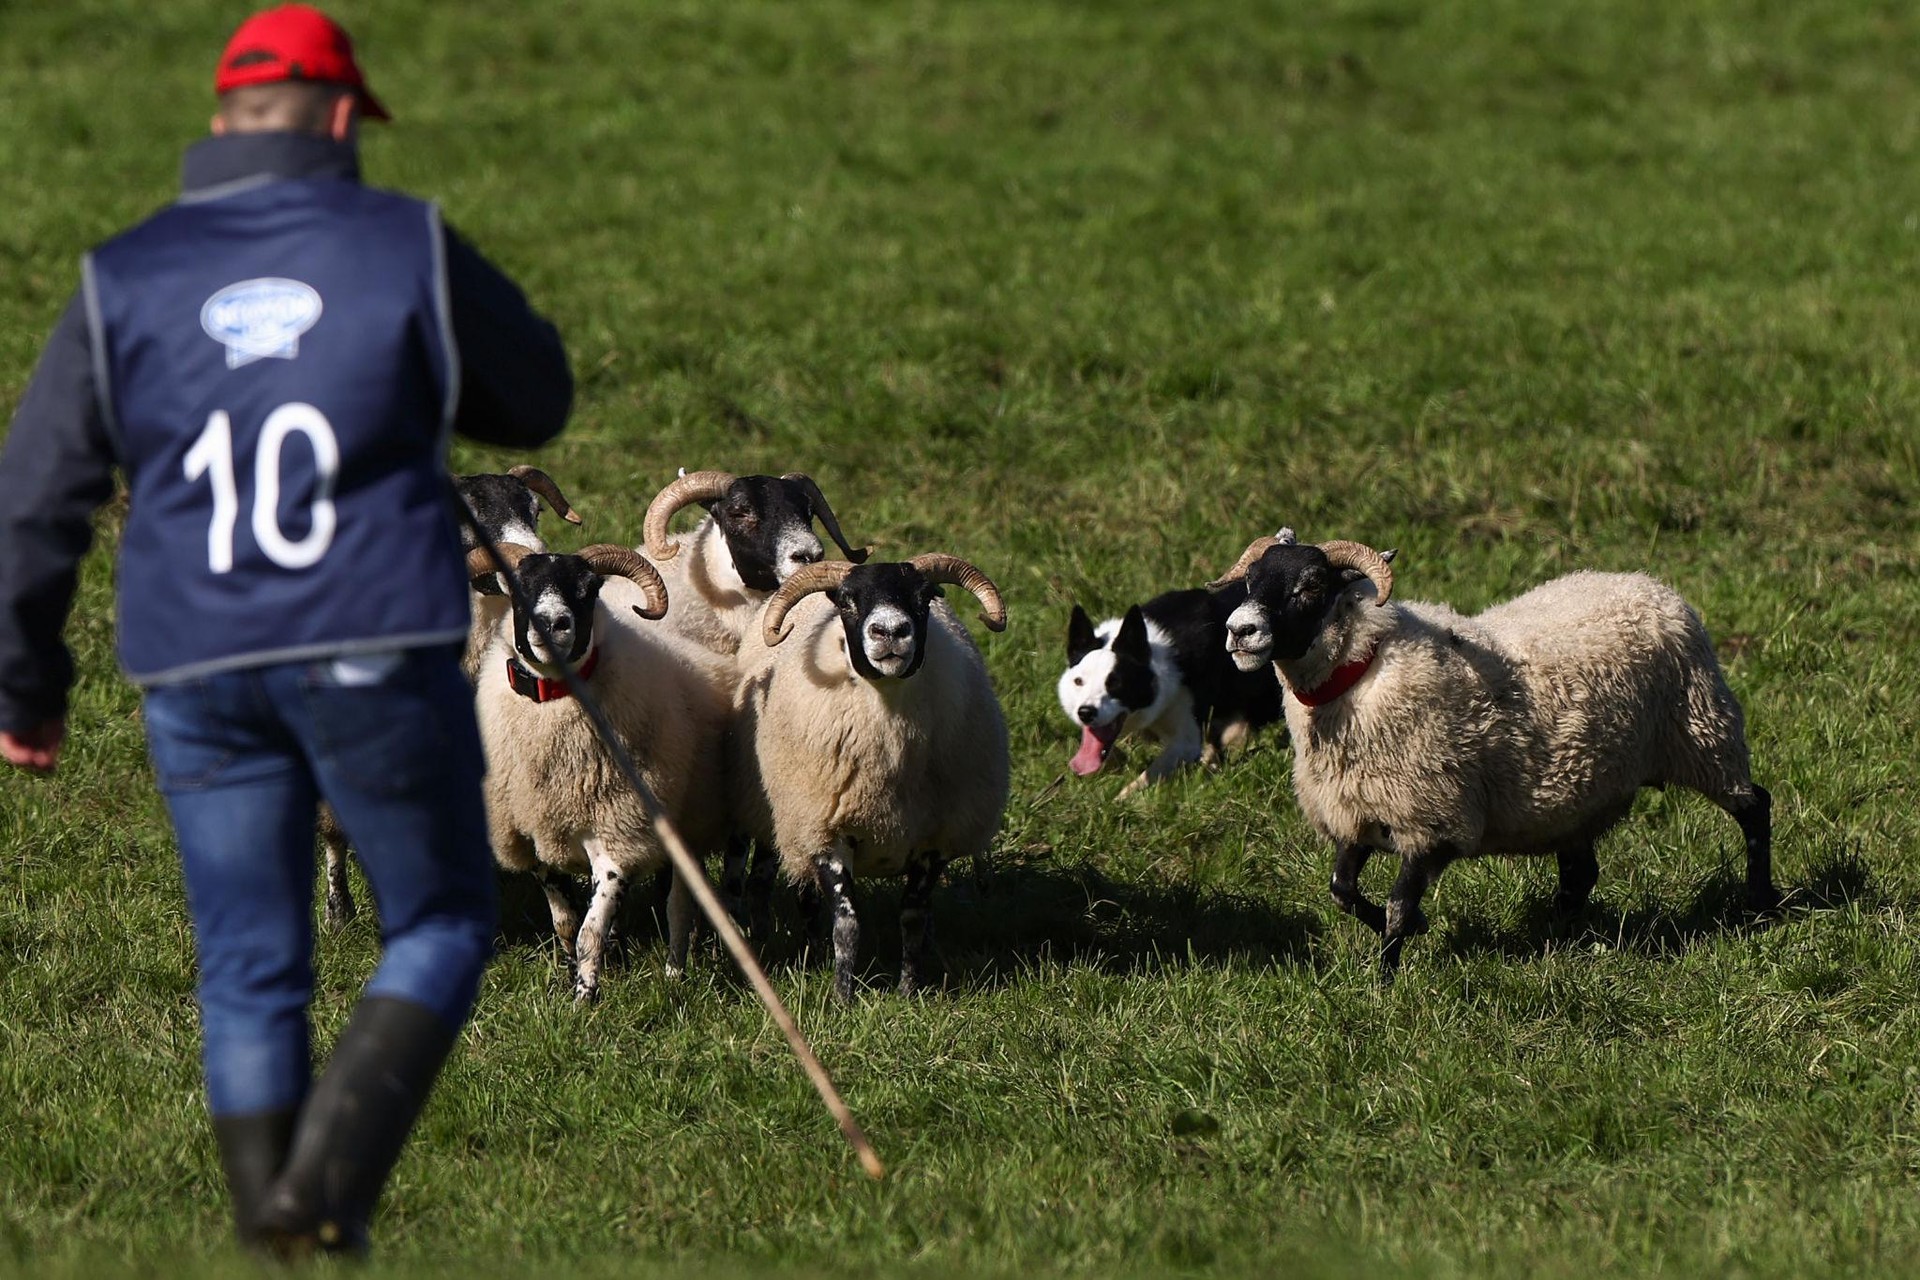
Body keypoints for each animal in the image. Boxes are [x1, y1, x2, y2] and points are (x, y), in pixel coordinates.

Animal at [467, 541, 729, 1004]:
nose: (552, 624)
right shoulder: (535, 834)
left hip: (690, 821)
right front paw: (571, 973)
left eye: (588, 589)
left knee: (679, 905)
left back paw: (674, 974)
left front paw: (584, 997)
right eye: (517, 588)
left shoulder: (616, 834)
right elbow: (566, 924)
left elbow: (590, 929)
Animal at [731, 554, 1010, 1000]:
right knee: (799, 894)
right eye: (847, 601)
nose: (890, 631)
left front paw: (909, 992)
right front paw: (842, 997)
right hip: (788, 819)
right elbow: (847, 923)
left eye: (924, 596)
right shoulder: (825, 831)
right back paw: (808, 954)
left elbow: (912, 917)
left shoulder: (935, 839)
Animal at [1213, 534, 1777, 975]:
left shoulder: (1430, 819)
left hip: (1704, 733)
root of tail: (1649, 584)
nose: (1240, 631)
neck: (1364, 670)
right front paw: (1415, 930)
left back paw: (1761, 904)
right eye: (1251, 582)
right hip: (1582, 793)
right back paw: (1558, 937)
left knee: (1756, 808)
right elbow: (1342, 892)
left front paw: (1386, 983)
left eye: (1310, 585)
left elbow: (1395, 907)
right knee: (1580, 873)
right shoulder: (1357, 812)